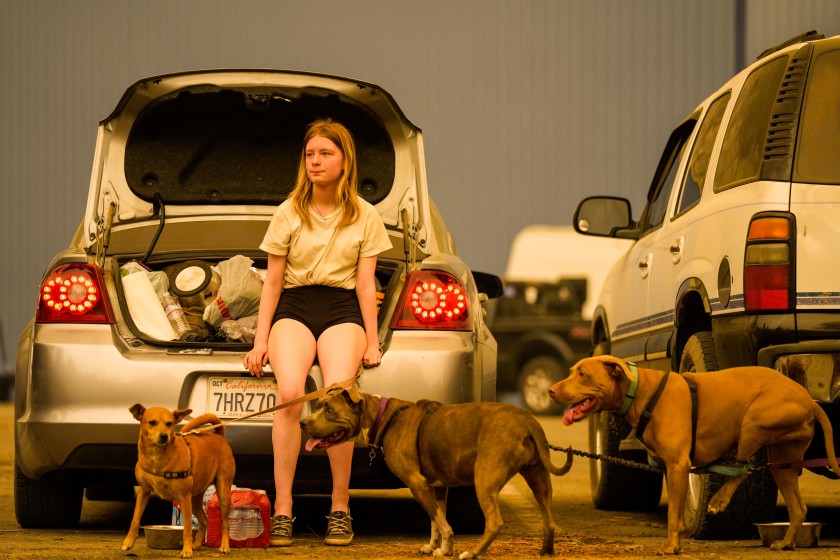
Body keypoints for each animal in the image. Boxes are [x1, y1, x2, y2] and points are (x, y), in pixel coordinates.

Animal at [121, 404, 235, 556]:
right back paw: (196, 544)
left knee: (225, 523)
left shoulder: (184, 497)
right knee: (204, 521)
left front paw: (186, 550)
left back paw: (224, 546)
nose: (164, 436)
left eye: (170, 423)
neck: (157, 457)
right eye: (152, 422)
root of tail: (218, 436)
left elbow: (187, 528)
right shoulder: (143, 492)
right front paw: (128, 542)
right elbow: (135, 519)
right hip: (195, 500)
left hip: (222, 493)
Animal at [300, 388, 572, 556]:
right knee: (548, 520)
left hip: (484, 480)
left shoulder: (417, 483)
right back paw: (546, 552)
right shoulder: (436, 486)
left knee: (494, 521)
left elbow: (443, 523)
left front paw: (447, 549)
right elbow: (435, 520)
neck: (383, 416)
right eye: (319, 405)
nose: (302, 423)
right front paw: (434, 547)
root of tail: (527, 419)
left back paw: (473, 553)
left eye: (329, 410)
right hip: (539, 479)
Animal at [548, 356, 836, 552]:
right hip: (783, 461)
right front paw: (677, 539)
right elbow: (674, 512)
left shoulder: (678, 465)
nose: (550, 390)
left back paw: (719, 501)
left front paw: (671, 546)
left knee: (743, 469)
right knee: (798, 508)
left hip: (752, 422)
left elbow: (672, 512)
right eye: (572, 371)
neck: (642, 392)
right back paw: (786, 543)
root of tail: (809, 400)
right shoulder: (670, 468)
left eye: (583, 374)